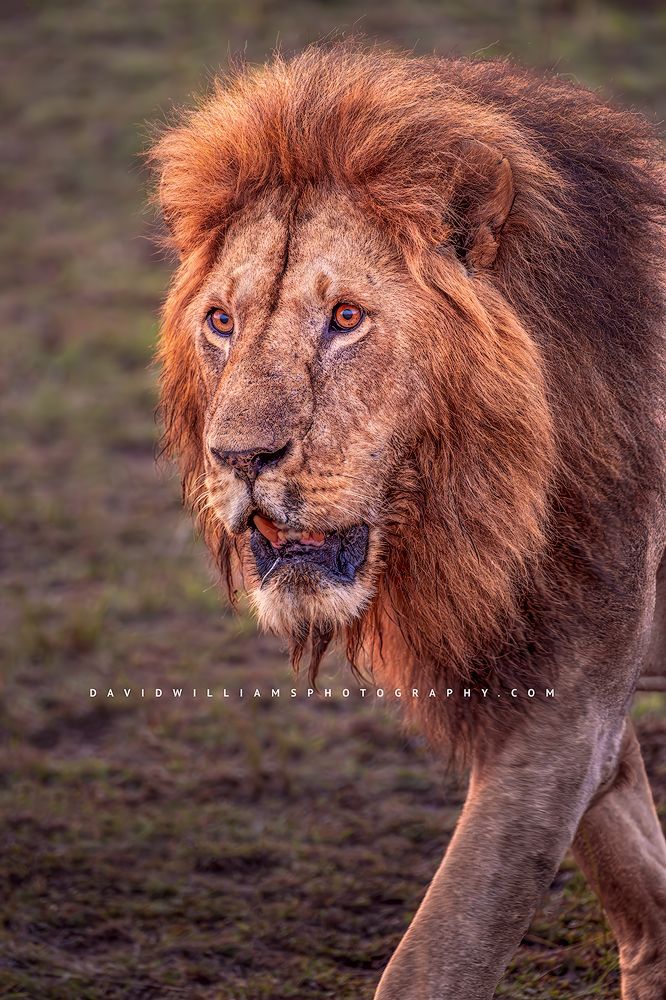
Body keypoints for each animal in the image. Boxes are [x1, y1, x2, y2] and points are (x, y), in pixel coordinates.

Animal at [150, 45, 666, 999]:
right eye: (222, 321)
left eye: (346, 318)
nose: (239, 457)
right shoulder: (555, 699)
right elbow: (647, 902)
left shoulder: (565, 713)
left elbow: (436, 957)